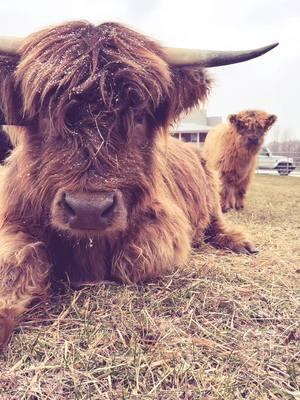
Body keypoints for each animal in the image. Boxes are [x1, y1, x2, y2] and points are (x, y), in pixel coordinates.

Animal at [0, 21, 278, 346]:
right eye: (44, 115)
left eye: (140, 117)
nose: (88, 209)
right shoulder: (13, 219)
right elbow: (18, 259)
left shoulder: (165, 224)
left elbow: (132, 261)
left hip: (211, 190)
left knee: (216, 221)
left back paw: (239, 242)